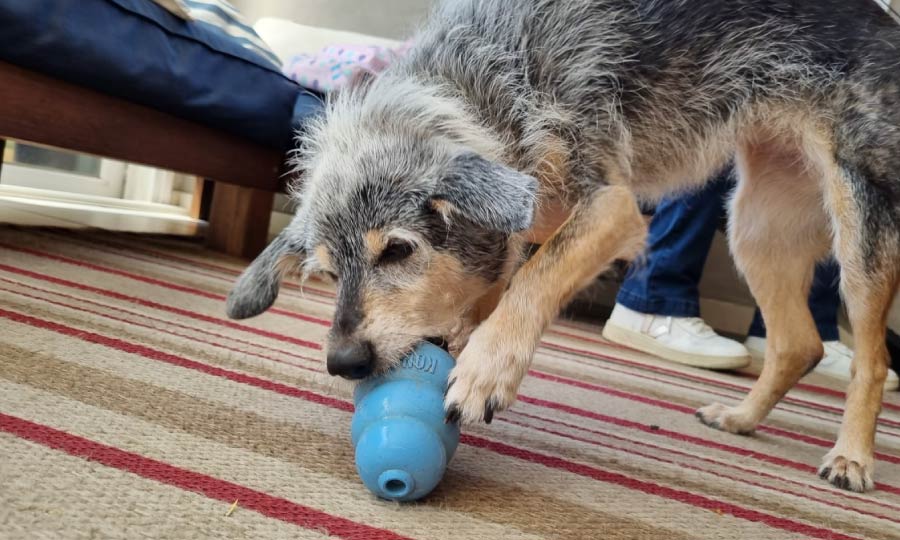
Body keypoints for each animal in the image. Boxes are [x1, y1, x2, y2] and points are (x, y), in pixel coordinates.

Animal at [227, 0, 900, 492]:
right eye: (327, 272)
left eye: (396, 251)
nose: (343, 363)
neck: (481, 84)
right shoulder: (530, 217)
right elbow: (496, 279)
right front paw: (465, 334)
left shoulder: (609, 208)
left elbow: (533, 278)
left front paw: (486, 368)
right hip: (755, 227)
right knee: (798, 344)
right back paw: (741, 418)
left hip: (859, 228)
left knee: (868, 358)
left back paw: (851, 458)